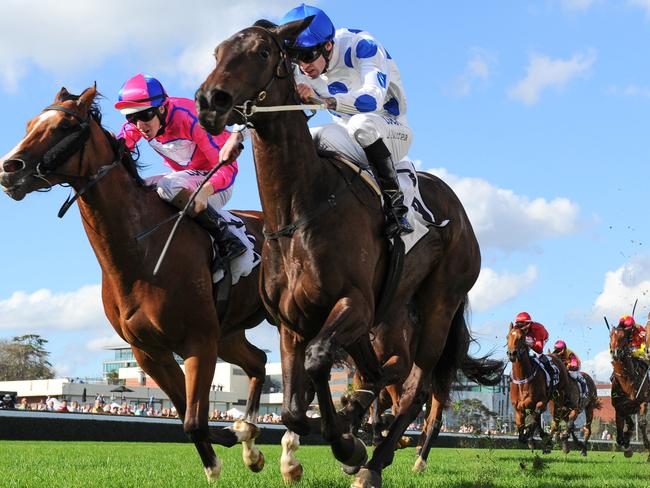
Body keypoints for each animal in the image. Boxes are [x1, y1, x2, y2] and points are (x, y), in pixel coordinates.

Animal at [0, 86, 268, 480]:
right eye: (29, 123)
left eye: (64, 125)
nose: (9, 169)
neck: (142, 249)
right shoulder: (149, 351)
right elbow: (191, 417)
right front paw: (233, 439)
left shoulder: (199, 341)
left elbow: (193, 420)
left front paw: (222, 454)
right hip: (230, 334)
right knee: (259, 362)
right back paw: (250, 440)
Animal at [194, 19, 502, 488]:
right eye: (217, 52)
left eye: (264, 52)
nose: (211, 101)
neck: (301, 210)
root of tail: (460, 212)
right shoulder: (292, 322)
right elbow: (292, 406)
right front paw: (316, 443)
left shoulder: (353, 303)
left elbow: (320, 363)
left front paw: (346, 444)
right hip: (389, 311)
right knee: (382, 371)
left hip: (437, 304)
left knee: (415, 388)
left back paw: (373, 463)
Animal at [506, 322, 568, 452]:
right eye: (507, 337)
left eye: (521, 338)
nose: (511, 353)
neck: (522, 379)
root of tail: (555, 355)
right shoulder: (518, 409)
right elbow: (521, 428)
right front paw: (529, 438)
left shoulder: (541, 402)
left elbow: (535, 418)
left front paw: (530, 436)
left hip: (558, 398)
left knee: (555, 419)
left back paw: (549, 440)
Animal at [608, 326, 648, 460]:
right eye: (611, 335)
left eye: (624, 337)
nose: (616, 352)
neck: (626, 381)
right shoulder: (620, 407)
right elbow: (625, 429)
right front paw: (627, 447)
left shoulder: (643, 402)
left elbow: (642, 423)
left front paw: (647, 444)